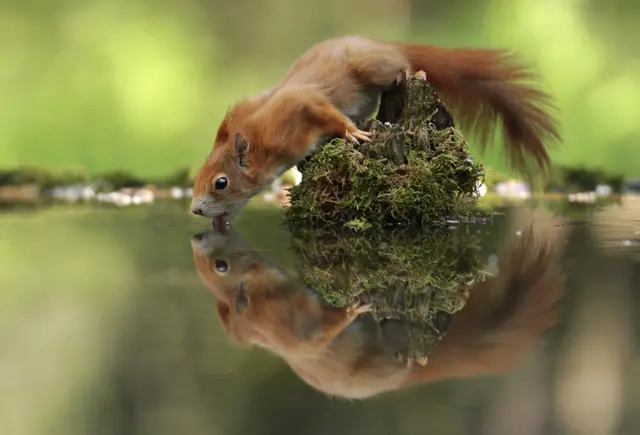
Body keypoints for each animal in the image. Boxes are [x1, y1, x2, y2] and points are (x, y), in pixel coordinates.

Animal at [190, 35, 561, 229]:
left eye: (221, 183)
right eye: (196, 178)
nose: (195, 210)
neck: (261, 142)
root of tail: (381, 44)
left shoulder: (297, 106)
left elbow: (324, 109)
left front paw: (353, 133)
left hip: (371, 67)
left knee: (403, 67)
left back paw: (411, 71)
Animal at [190, 226, 566, 400]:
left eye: (219, 266)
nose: (197, 237)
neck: (262, 303)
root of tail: (400, 380)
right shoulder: (296, 330)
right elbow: (323, 333)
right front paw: (353, 307)